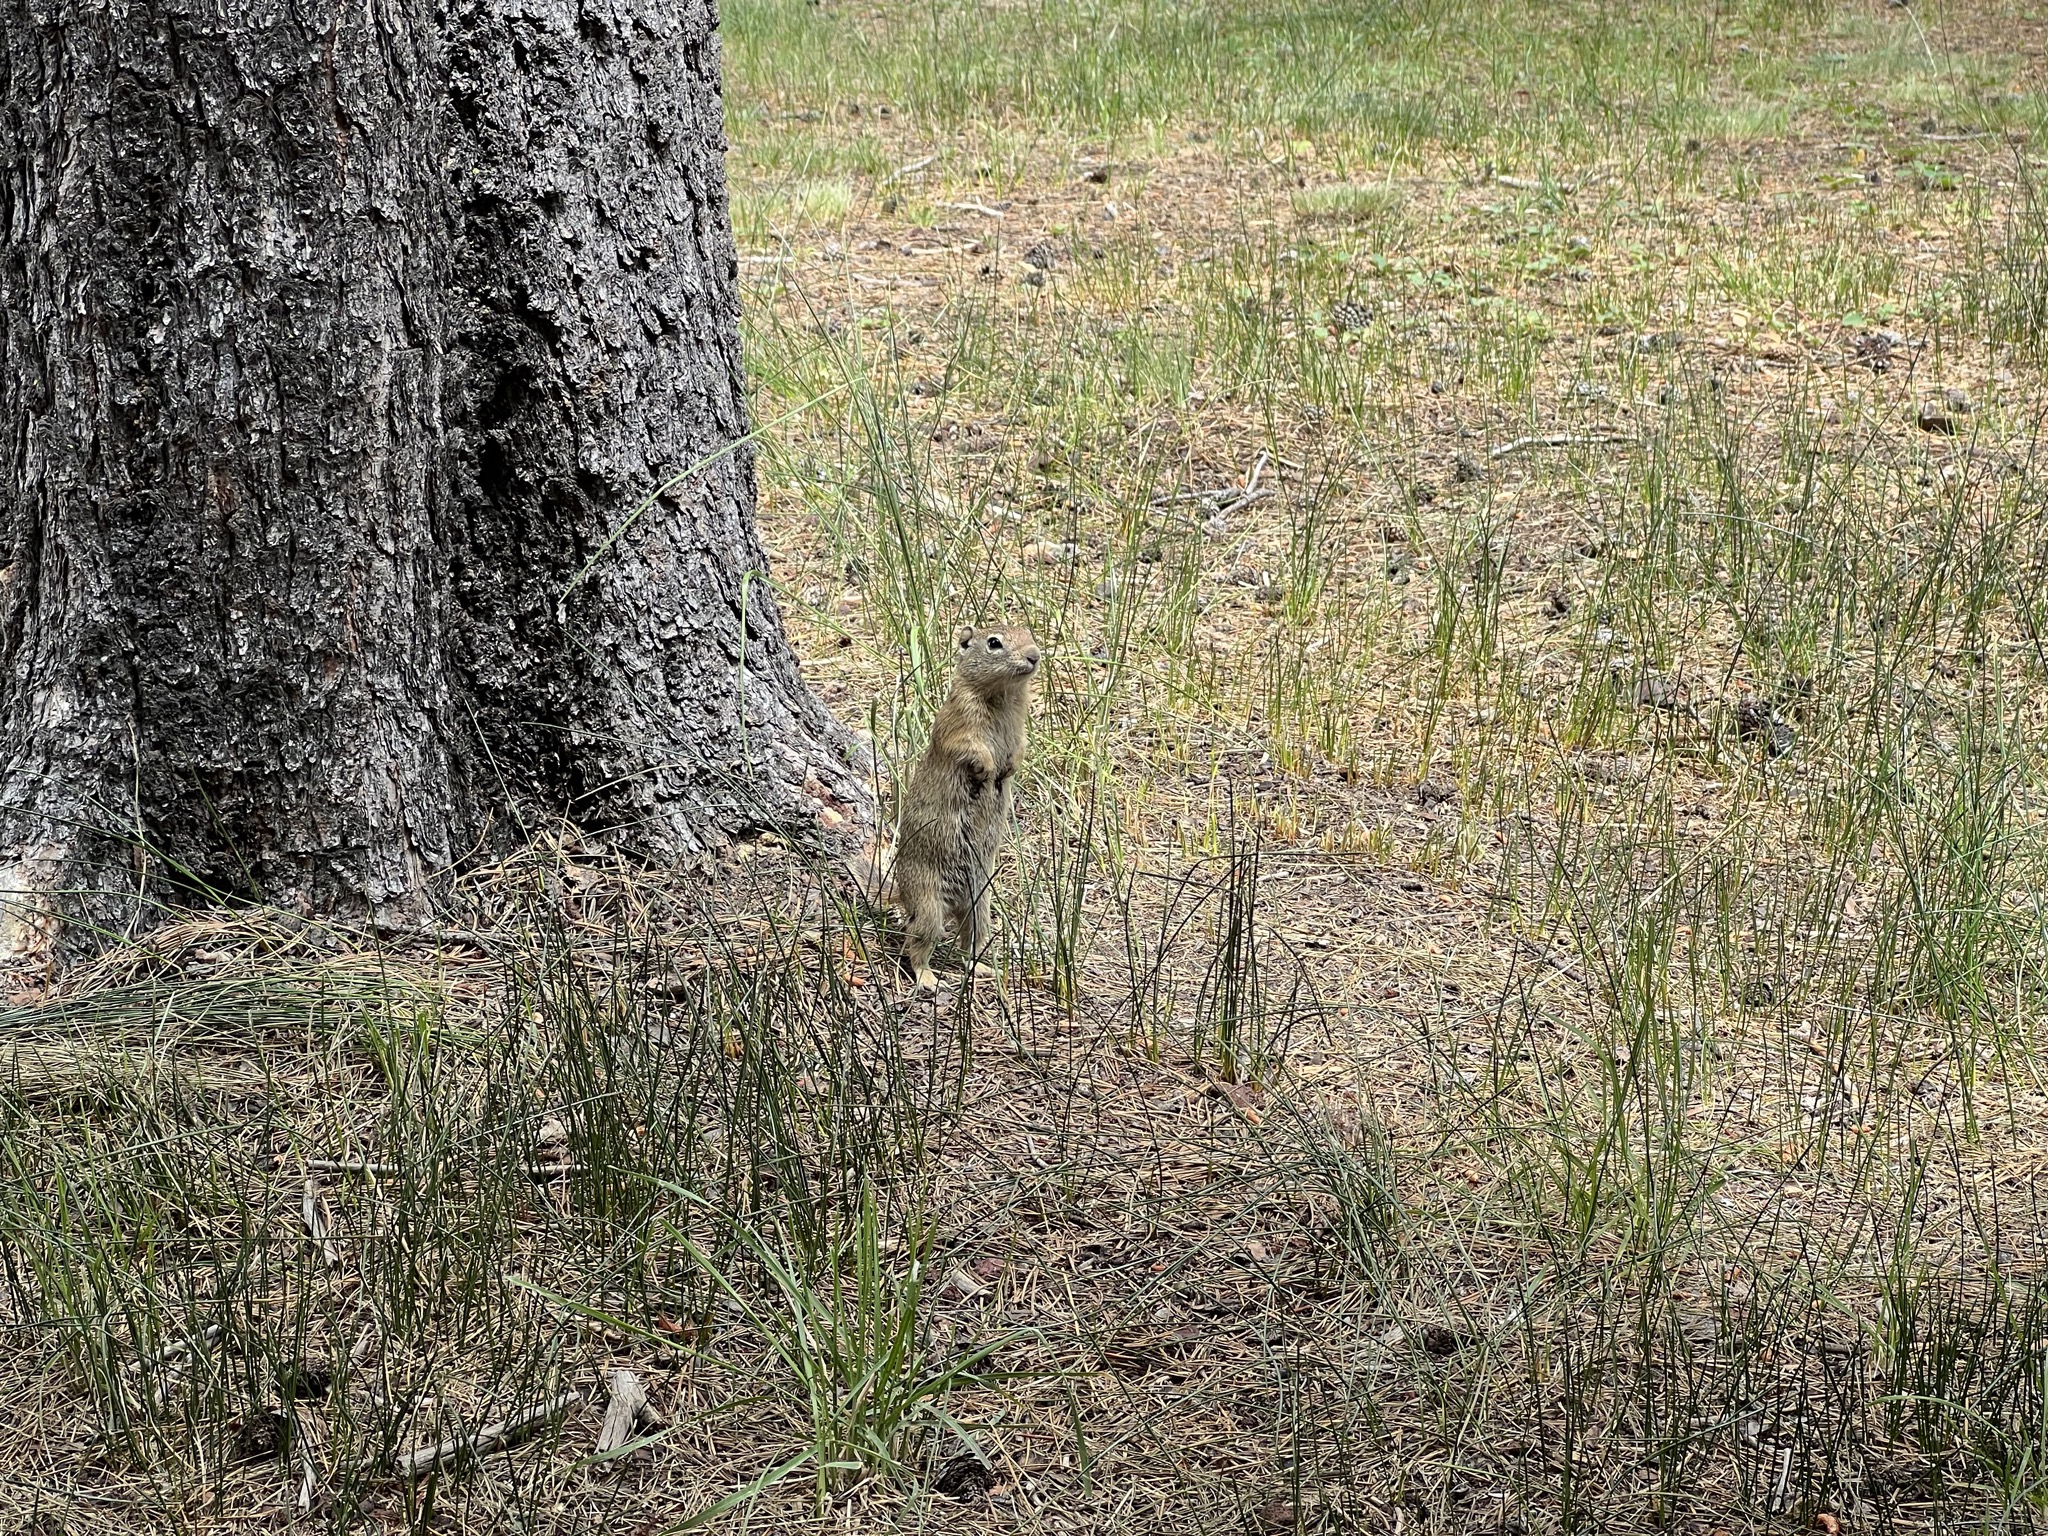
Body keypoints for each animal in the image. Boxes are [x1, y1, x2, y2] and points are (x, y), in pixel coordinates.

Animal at [851, 623, 1041, 990]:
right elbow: (967, 747)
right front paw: (988, 770)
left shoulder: (1020, 728)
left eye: (1029, 633)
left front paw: (1007, 770)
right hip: (929, 907)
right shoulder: (958, 723)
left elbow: (1021, 749)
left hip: (980, 907)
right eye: (994, 643)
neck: (1003, 696)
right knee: (917, 944)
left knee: (971, 943)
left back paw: (981, 969)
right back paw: (928, 979)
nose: (1034, 656)